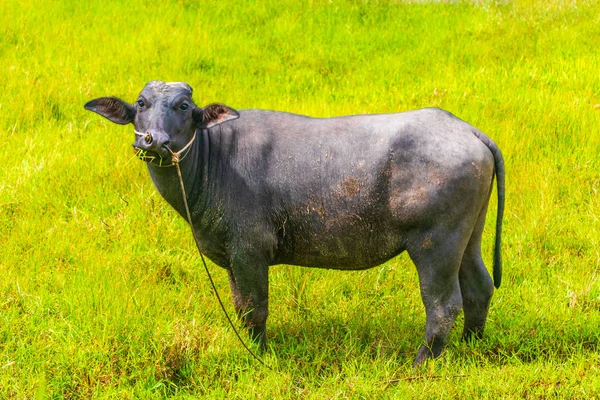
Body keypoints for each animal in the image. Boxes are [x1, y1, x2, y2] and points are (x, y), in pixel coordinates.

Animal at [84, 80, 504, 362]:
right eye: (142, 103)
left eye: (184, 105)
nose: (152, 141)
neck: (214, 158)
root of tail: (466, 129)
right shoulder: (232, 258)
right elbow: (240, 306)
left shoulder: (250, 252)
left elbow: (255, 307)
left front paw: (260, 354)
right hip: (469, 238)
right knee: (479, 288)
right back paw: (471, 344)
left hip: (436, 244)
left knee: (443, 305)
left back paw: (420, 362)